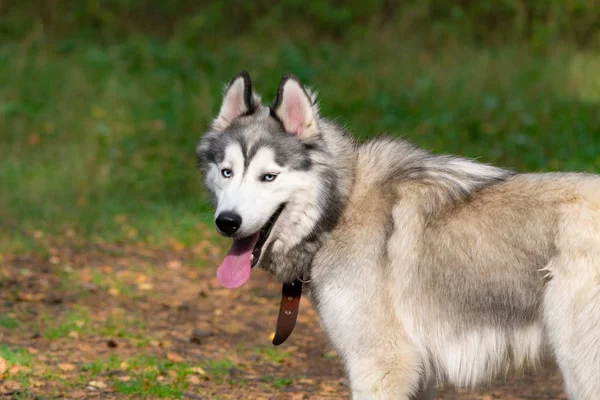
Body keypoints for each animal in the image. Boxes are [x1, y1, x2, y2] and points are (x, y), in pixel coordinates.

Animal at [197, 72, 600, 400]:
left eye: (268, 177)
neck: (341, 210)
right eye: (227, 172)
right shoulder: (416, 374)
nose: (227, 222)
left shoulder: (382, 366)